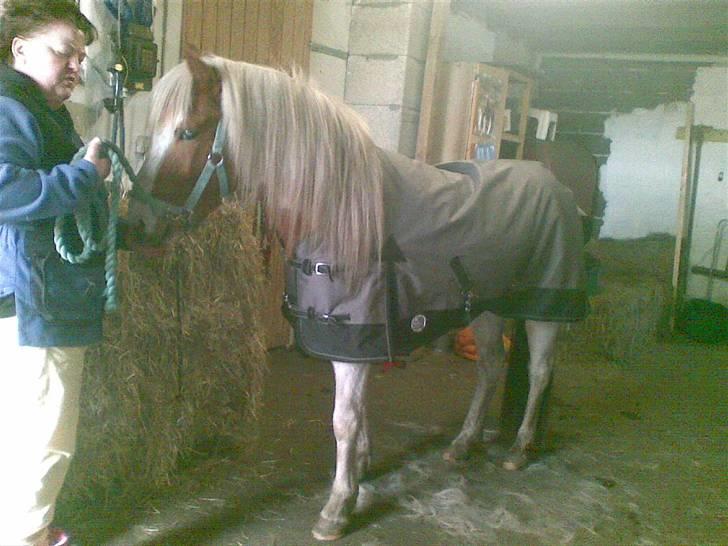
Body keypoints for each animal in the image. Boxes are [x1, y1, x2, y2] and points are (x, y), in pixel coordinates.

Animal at [129, 49, 588, 541]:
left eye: (187, 132)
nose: (134, 224)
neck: (337, 209)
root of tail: (558, 187)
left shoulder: (356, 341)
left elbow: (344, 421)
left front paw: (338, 506)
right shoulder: (357, 342)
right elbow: (360, 415)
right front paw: (361, 472)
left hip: (544, 309)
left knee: (539, 372)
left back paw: (520, 448)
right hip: (486, 307)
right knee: (489, 367)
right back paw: (463, 443)